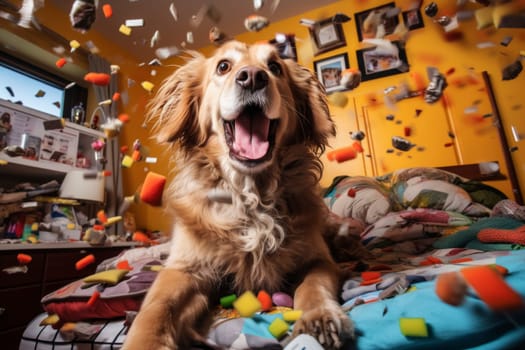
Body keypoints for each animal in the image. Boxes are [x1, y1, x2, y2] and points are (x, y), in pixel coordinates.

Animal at [122, 41, 352, 350]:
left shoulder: (319, 260)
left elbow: (313, 285)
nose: (253, 77)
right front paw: (144, 340)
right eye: (223, 66)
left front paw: (319, 317)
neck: (250, 194)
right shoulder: (183, 270)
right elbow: (155, 309)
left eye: (275, 67)